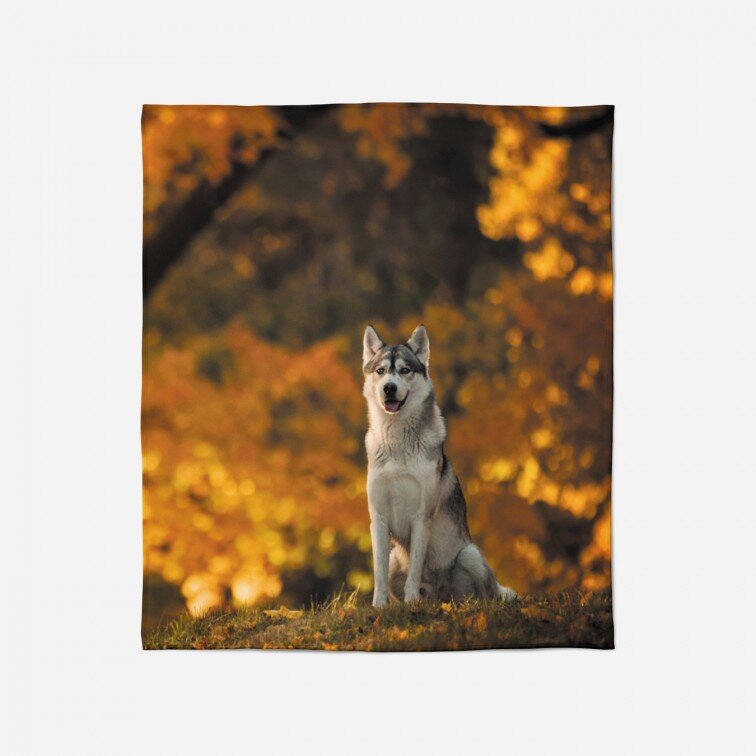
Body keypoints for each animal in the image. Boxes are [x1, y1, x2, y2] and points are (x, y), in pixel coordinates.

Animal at [362, 324, 516, 607]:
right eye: (380, 371)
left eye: (405, 370)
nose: (389, 388)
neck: (397, 441)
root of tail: (441, 598)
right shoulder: (378, 519)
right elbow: (378, 573)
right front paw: (379, 606)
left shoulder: (421, 517)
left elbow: (415, 569)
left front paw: (412, 602)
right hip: (394, 559)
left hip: (470, 554)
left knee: (485, 596)